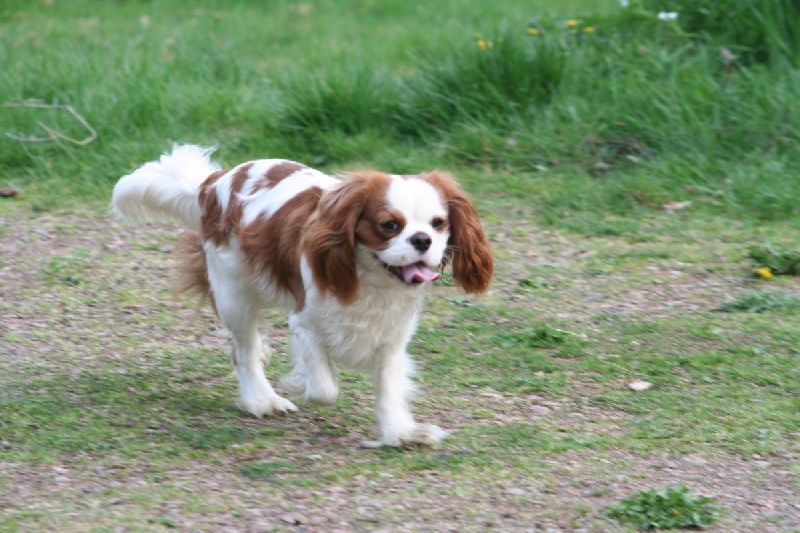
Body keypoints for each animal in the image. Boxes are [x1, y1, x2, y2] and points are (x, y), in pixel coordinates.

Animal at [109, 143, 490, 446]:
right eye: (390, 226)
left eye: (438, 223)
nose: (422, 240)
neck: (372, 280)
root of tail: (214, 181)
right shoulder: (306, 323)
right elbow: (324, 388)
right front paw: (297, 382)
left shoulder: (392, 335)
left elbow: (389, 387)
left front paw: (399, 432)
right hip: (235, 295)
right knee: (244, 349)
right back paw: (261, 399)